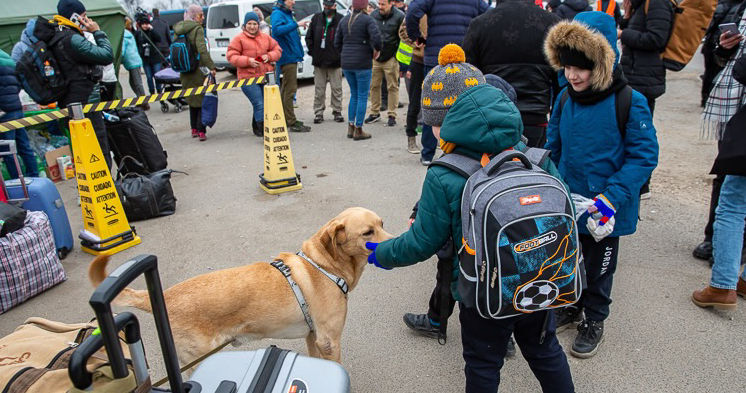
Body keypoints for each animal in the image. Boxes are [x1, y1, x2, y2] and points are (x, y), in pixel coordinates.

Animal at [88, 207, 390, 362]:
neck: (324, 265)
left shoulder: (313, 337)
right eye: (367, 232)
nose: (393, 242)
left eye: (382, 223)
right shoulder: (329, 341)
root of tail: (164, 295)